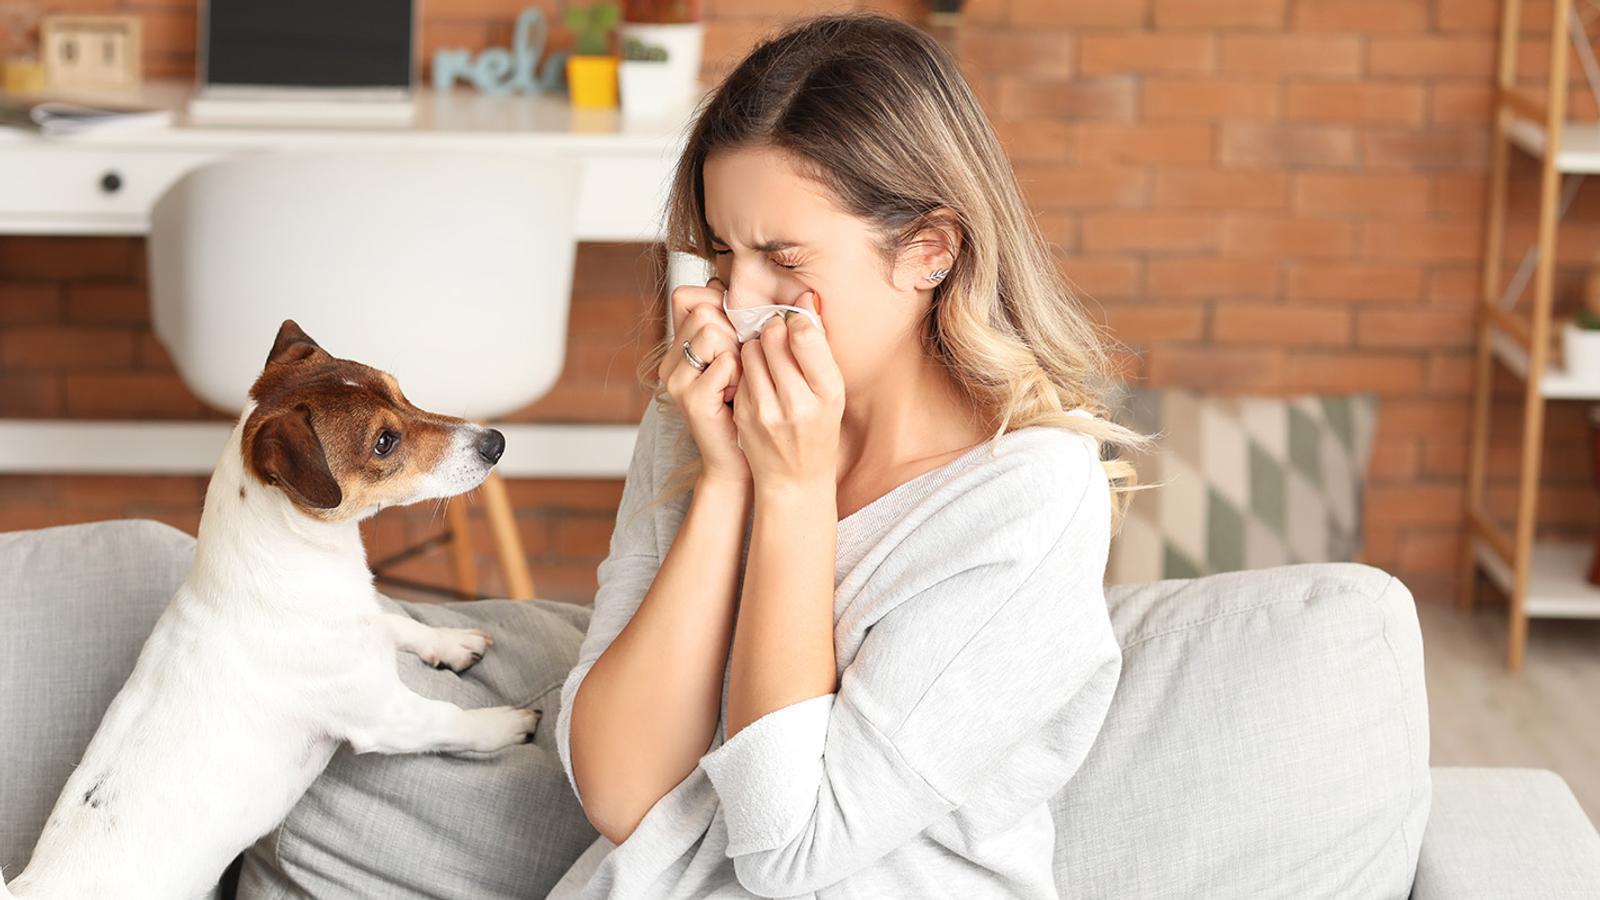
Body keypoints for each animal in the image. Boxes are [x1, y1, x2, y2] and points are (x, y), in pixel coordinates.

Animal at [0, 318, 540, 890]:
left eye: (402, 392)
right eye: (384, 442)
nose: (496, 442)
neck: (302, 565)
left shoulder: (365, 623)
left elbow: (397, 621)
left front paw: (452, 641)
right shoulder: (386, 716)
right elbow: (451, 720)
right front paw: (506, 723)